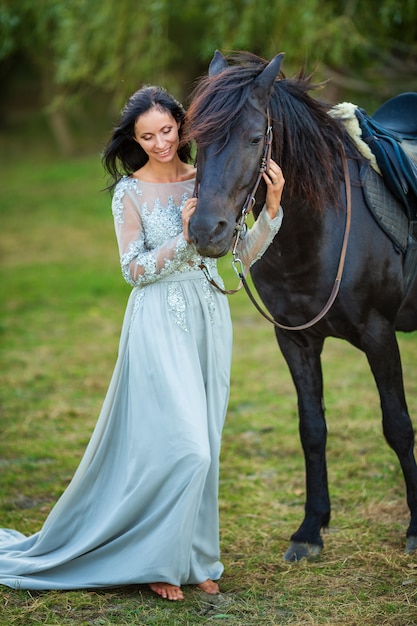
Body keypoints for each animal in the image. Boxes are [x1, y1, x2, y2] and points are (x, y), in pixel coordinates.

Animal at [184, 51, 416, 560]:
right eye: (194, 141)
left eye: (255, 138)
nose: (206, 231)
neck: (318, 230)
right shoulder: (295, 340)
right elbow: (312, 429)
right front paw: (311, 529)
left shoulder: (379, 334)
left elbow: (397, 425)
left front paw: (415, 528)